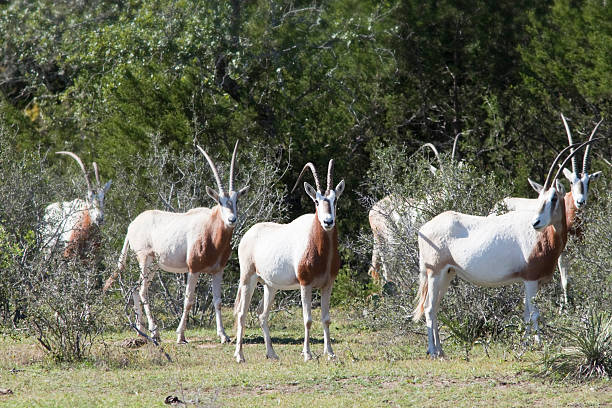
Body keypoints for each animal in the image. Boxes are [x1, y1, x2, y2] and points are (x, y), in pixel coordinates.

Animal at [103, 141, 249, 344]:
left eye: (236, 200)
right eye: (220, 201)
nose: (232, 220)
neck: (210, 230)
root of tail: (132, 225)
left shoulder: (217, 271)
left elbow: (217, 301)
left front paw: (223, 335)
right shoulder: (193, 269)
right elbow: (188, 300)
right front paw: (181, 335)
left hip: (153, 265)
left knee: (136, 288)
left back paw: (140, 330)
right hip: (145, 259)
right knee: (143, 290)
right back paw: (154, 332)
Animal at [233, 159, 342, 364]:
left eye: (335, 200)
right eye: (316, 201)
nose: (328, 222)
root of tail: (248, 234)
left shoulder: (328, 285)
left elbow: (326, 318)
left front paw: (330, 353)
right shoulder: (305, 284)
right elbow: (307, 319)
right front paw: (307, 354)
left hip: (270, 286)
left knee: (262, 314)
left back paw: (272, 353)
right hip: (248, 279)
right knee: (242, 313)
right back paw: (239, 356)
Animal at [416, 140, 596, 356]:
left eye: (553, 198)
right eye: (539, 198)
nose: (535, 223)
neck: (542, 237)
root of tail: (423, 228)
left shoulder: (531, 281)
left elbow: (526, 313)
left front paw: (525, 343)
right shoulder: (530, 279)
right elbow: (534, 313)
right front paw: (538, 344)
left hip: (447, 274)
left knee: (435, 307)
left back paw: (441, 351)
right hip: (434, 273)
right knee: (429, 308)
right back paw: (433, 351)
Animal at [500, 114, 604, 302]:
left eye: (588, 182)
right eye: (571, 182)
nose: (581, 201)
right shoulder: (561, 253)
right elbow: (565, 281)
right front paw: (566, 306)